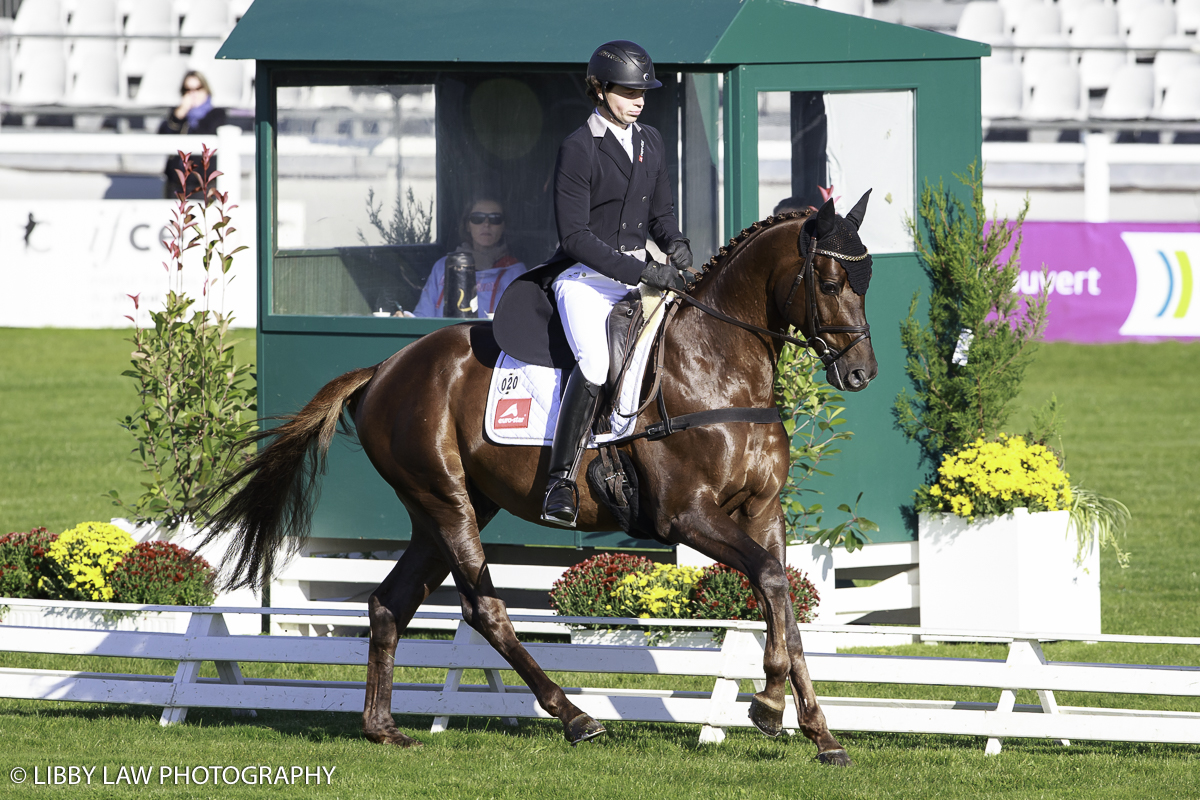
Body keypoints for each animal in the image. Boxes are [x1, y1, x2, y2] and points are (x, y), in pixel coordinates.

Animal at [206, 196, 878, 767]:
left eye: (866, 280)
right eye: (829, 282)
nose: (861, 373)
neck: (717, 365)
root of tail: (385, 366)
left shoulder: (764, 511)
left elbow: (782, 597)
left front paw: (819, 733)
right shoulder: (685, 516)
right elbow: (768, 580)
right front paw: (768, 705)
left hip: (446, 507)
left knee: (389, 603)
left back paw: (383, 728)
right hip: (445, 498)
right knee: (483, 607)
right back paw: (575, 716)